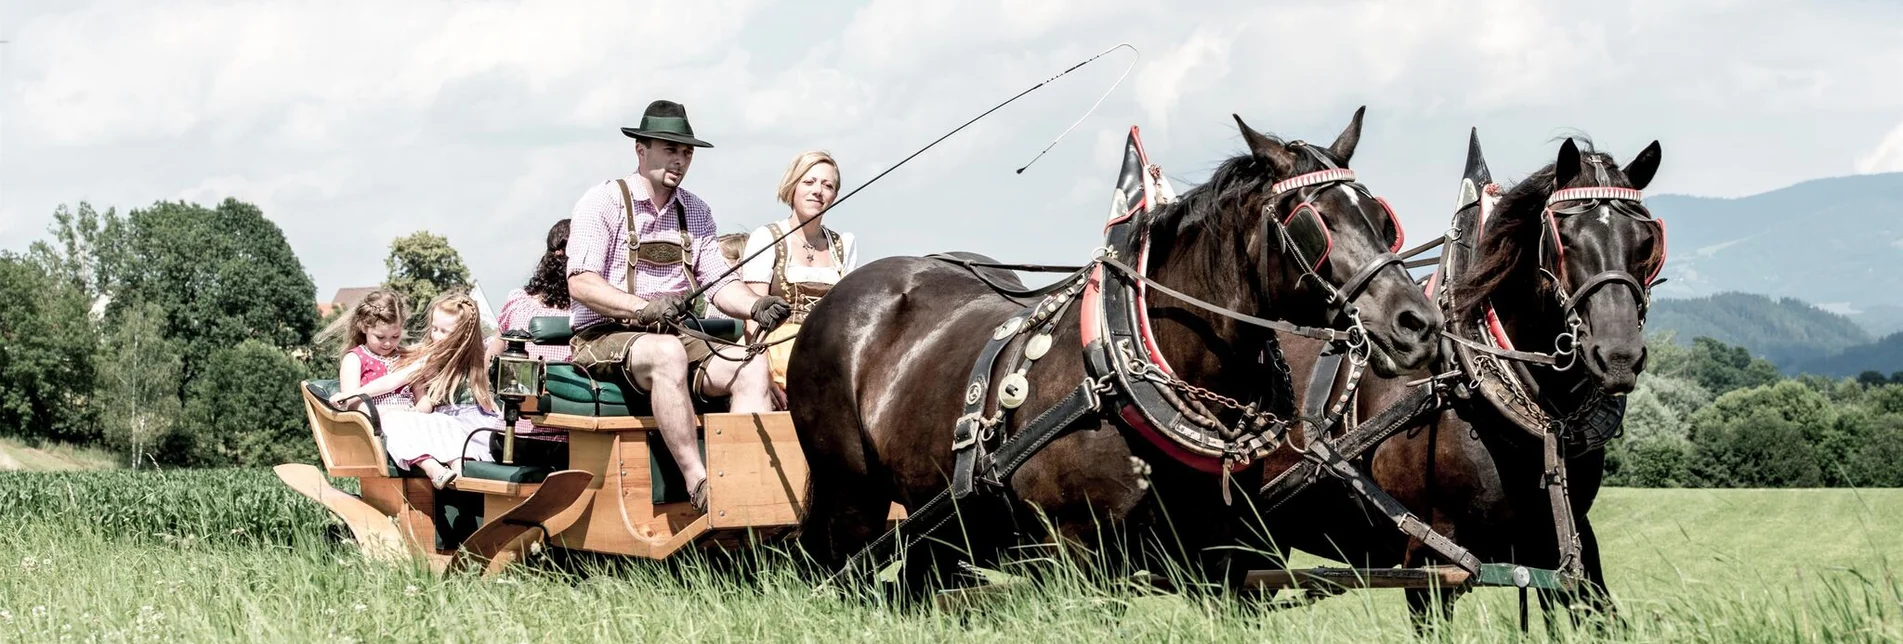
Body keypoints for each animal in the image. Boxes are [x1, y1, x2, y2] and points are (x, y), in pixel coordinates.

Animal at [787, 109, 1438, 586]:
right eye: (1315, 223)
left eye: (1382, 219)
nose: (1419, 323)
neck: (1130, 372)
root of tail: (840, 298)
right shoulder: (1076, 551)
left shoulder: (1229, 554)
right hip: (851, 500)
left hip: (945, 518)